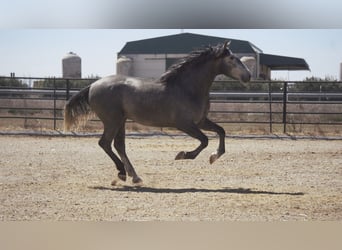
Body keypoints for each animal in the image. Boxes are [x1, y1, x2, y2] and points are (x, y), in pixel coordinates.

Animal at [65, 41, 251, 184]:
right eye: (231, 58)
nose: (248, 76)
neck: (187, 88)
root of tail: (93, 85)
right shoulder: (184, 124)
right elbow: (204, 140)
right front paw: (183, 155)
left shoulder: (201, 121)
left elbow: (221, 131)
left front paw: (214, 156)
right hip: (112, 121)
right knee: (105, 143)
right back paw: (122, 173)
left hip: (121, 121)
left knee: (119, 145)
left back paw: (135, 177)